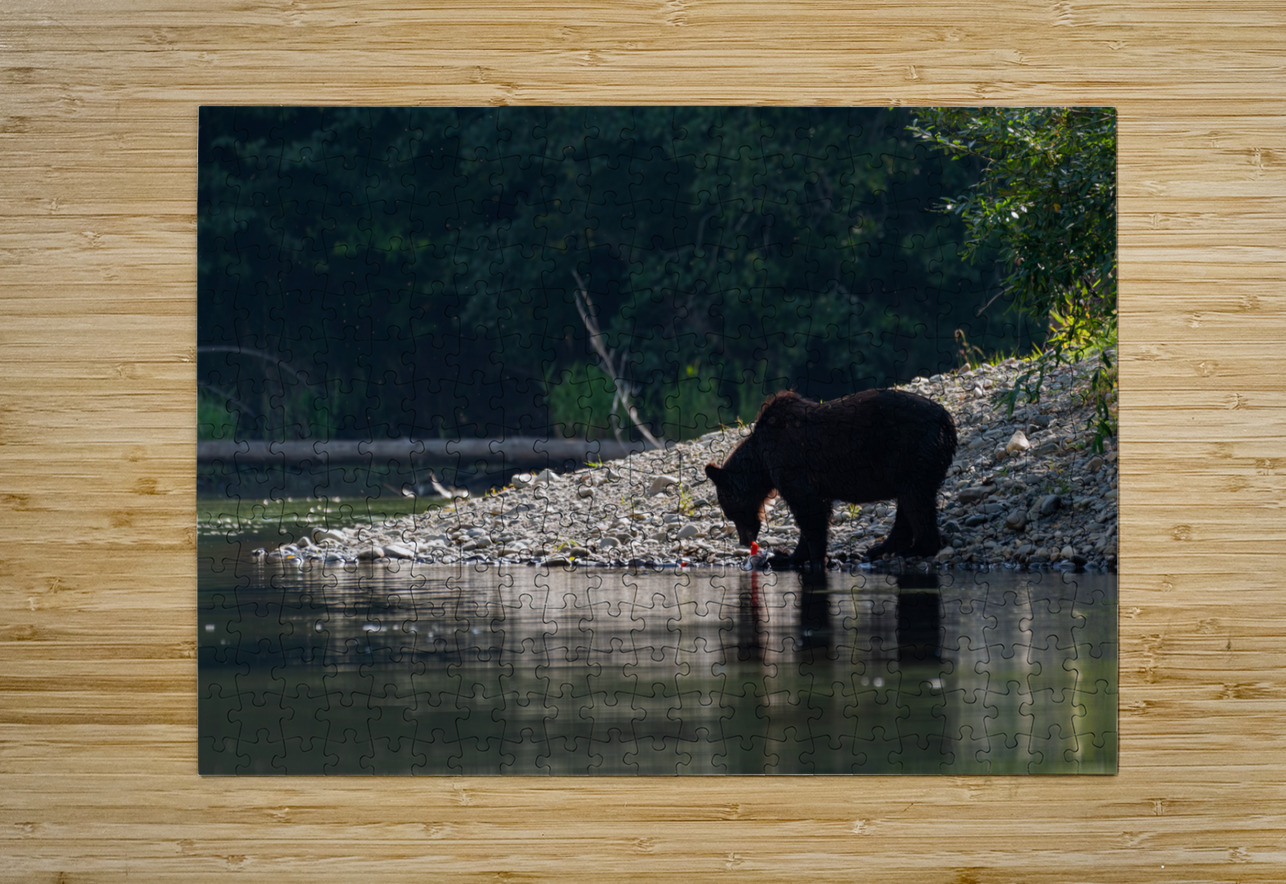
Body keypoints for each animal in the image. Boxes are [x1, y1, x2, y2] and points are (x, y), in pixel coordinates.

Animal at [704, 388, 957, 569]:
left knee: (916, 500)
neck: (760, 460)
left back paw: (917, 547)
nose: (744, 542)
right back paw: (882, 547)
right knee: (909, 502)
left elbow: (809, 509)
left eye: (730, 513)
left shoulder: (789, 462)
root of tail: (947, 419)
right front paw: (791, 555)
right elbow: (816, 510)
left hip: (913, 451)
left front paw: (810, 557)